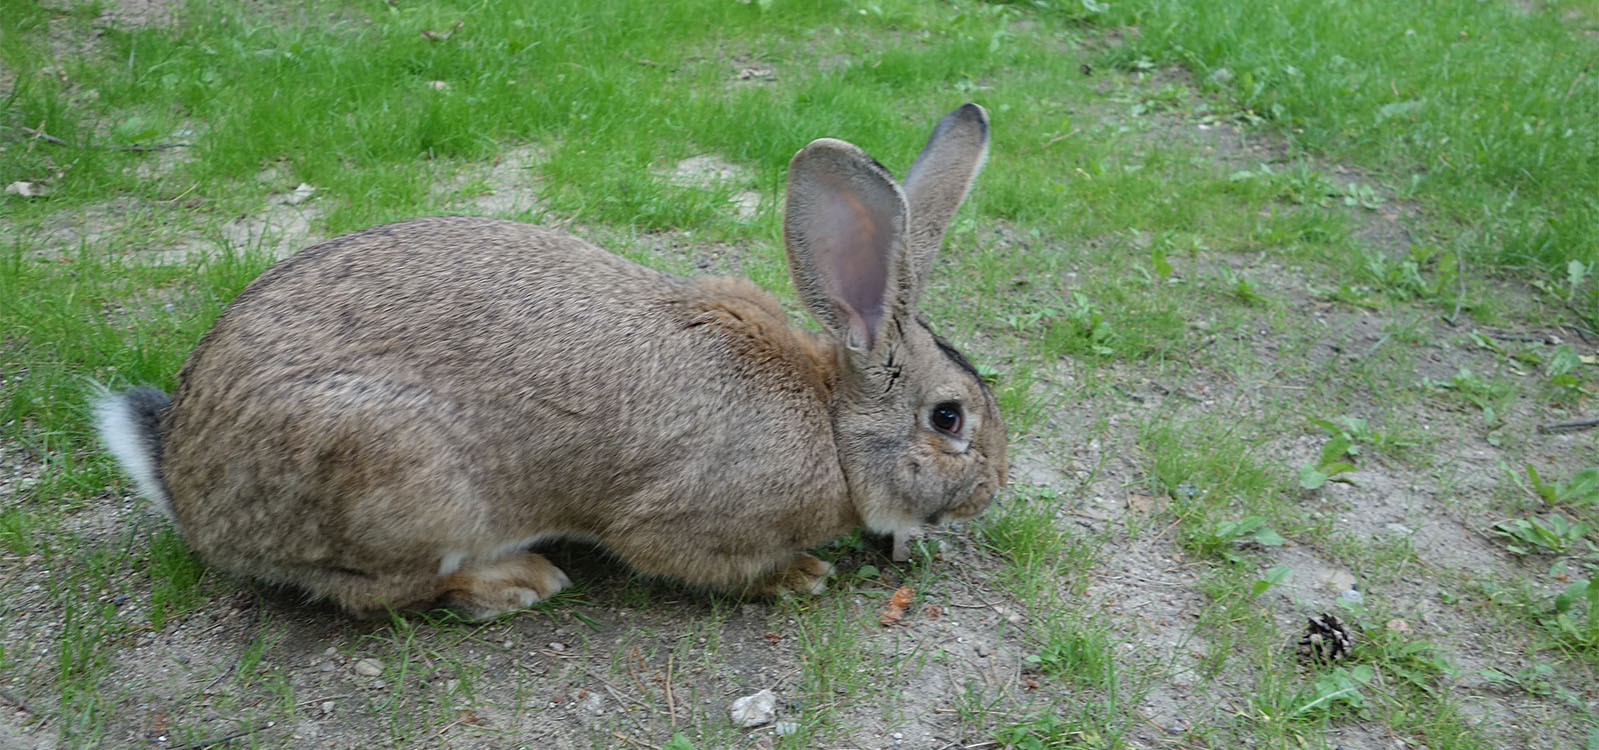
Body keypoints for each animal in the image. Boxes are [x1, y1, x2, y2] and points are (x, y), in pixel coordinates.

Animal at [93, 102, 1004, 617]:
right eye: (947, 419)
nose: (993, 489)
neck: (829, 421)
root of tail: (183, 481)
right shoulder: (679, 522)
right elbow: (692, 559)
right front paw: (798, 577)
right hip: (398, 482)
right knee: (371, 594)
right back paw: (513, 584)